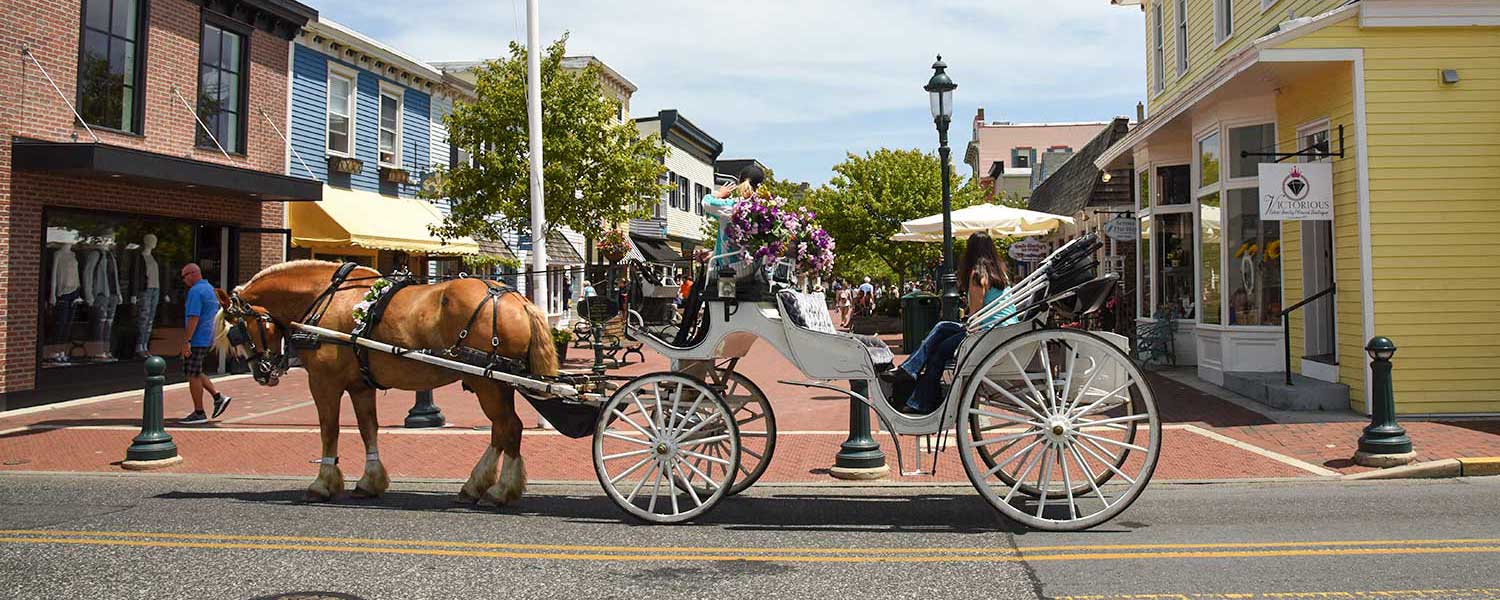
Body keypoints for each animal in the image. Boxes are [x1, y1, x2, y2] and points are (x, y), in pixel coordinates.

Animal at [213, 259, 558, 504]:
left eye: (237, 329)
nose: (262, 372)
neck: (327, 299)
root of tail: (517, 298)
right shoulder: (361, 386)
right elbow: (368, 429)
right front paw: (370, 481)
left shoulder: (324, 383)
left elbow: (329, 430)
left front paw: (322, 483)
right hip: (495, 381)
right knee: (502, 430)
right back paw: (476, 486)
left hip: (488, 383)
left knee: (508, 428)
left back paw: (500, 491)